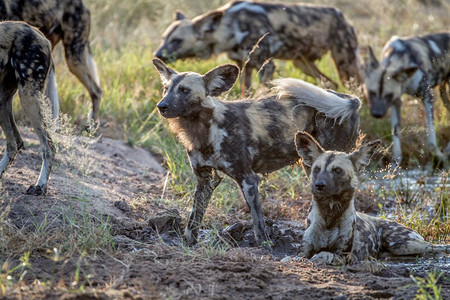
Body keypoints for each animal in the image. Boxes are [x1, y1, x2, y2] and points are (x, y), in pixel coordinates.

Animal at [152, 56, 362, 246]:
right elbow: (193, 219)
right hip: (313, 167)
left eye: (184, 90)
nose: (161, 106)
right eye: (165, 89)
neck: (203, 130)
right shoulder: (204, 180)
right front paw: (187, 244)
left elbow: (258, 223)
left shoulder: (248, 179)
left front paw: (265, 246)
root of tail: (349, 98)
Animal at [155, 0, 362, 91]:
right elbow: (245, 93)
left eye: (177, 40)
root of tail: (342, 15)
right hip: (303, 64)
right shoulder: (243, 66)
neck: (231, 27)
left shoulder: (266, 66)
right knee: (330, 84)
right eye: (163, 38)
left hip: (347, 68)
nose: (157, 55)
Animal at [296, 132, 450, 264]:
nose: (319, 185)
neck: (329, 215)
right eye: (316, 169)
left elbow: (325, 254)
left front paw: (320, 256)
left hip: (402, 244)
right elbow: (299, 257)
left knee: (432, 247)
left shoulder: (343, 254)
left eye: (337, 170)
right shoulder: (303, 251)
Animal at [364, 33, 448, 169]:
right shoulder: (395, 102)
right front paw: (394, 167)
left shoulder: (427, 96)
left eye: (388, 95)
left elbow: (431, 140)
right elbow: (396, 136)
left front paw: (441, 158)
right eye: (371, 92)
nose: (377, 114)